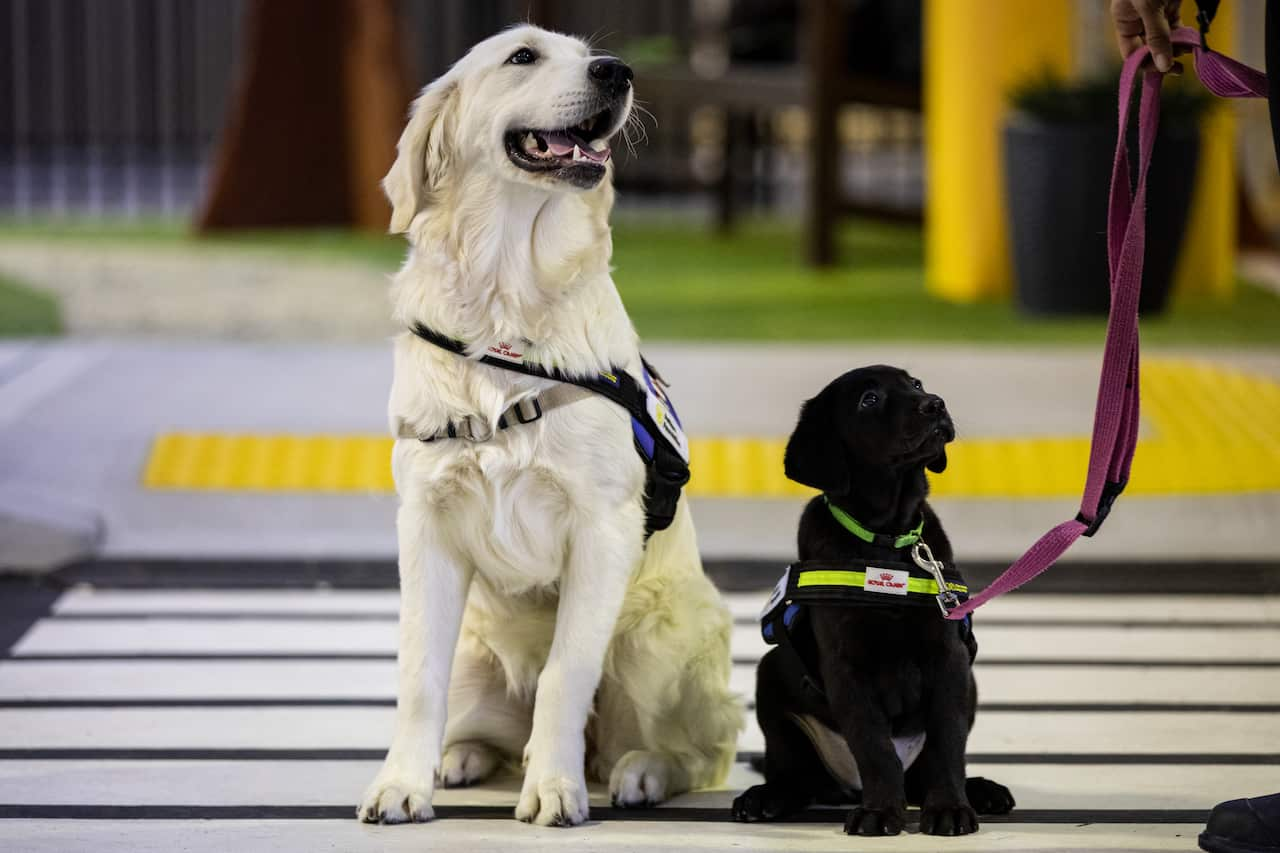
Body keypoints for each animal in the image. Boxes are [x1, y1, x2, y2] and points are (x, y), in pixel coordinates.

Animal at [358, 24, 742, 824]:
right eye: (523, 57)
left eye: (593, 54)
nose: (617, 72)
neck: (506, 304)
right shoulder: (426, 522)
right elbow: (417, 674)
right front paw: (402, 782)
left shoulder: (601, 526)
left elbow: (567, 674)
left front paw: (555, 788)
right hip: (478, 655)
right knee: (486, 722)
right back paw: (461, 756)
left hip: (658, 639)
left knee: (704, 748)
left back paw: (637, 770)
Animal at [737, 363, 1013, 829]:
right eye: (869, 400)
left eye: (916, 384)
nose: (935, 403)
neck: (886, 539)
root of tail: (845, 787)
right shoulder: (847, 666)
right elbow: (874, 746)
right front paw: (881, 812)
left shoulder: (948, 657)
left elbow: (947, 743)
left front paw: (949, 809)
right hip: (770, 676)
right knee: (795, 774)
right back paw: (766, 797)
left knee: (923, 771)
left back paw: (981, 790)